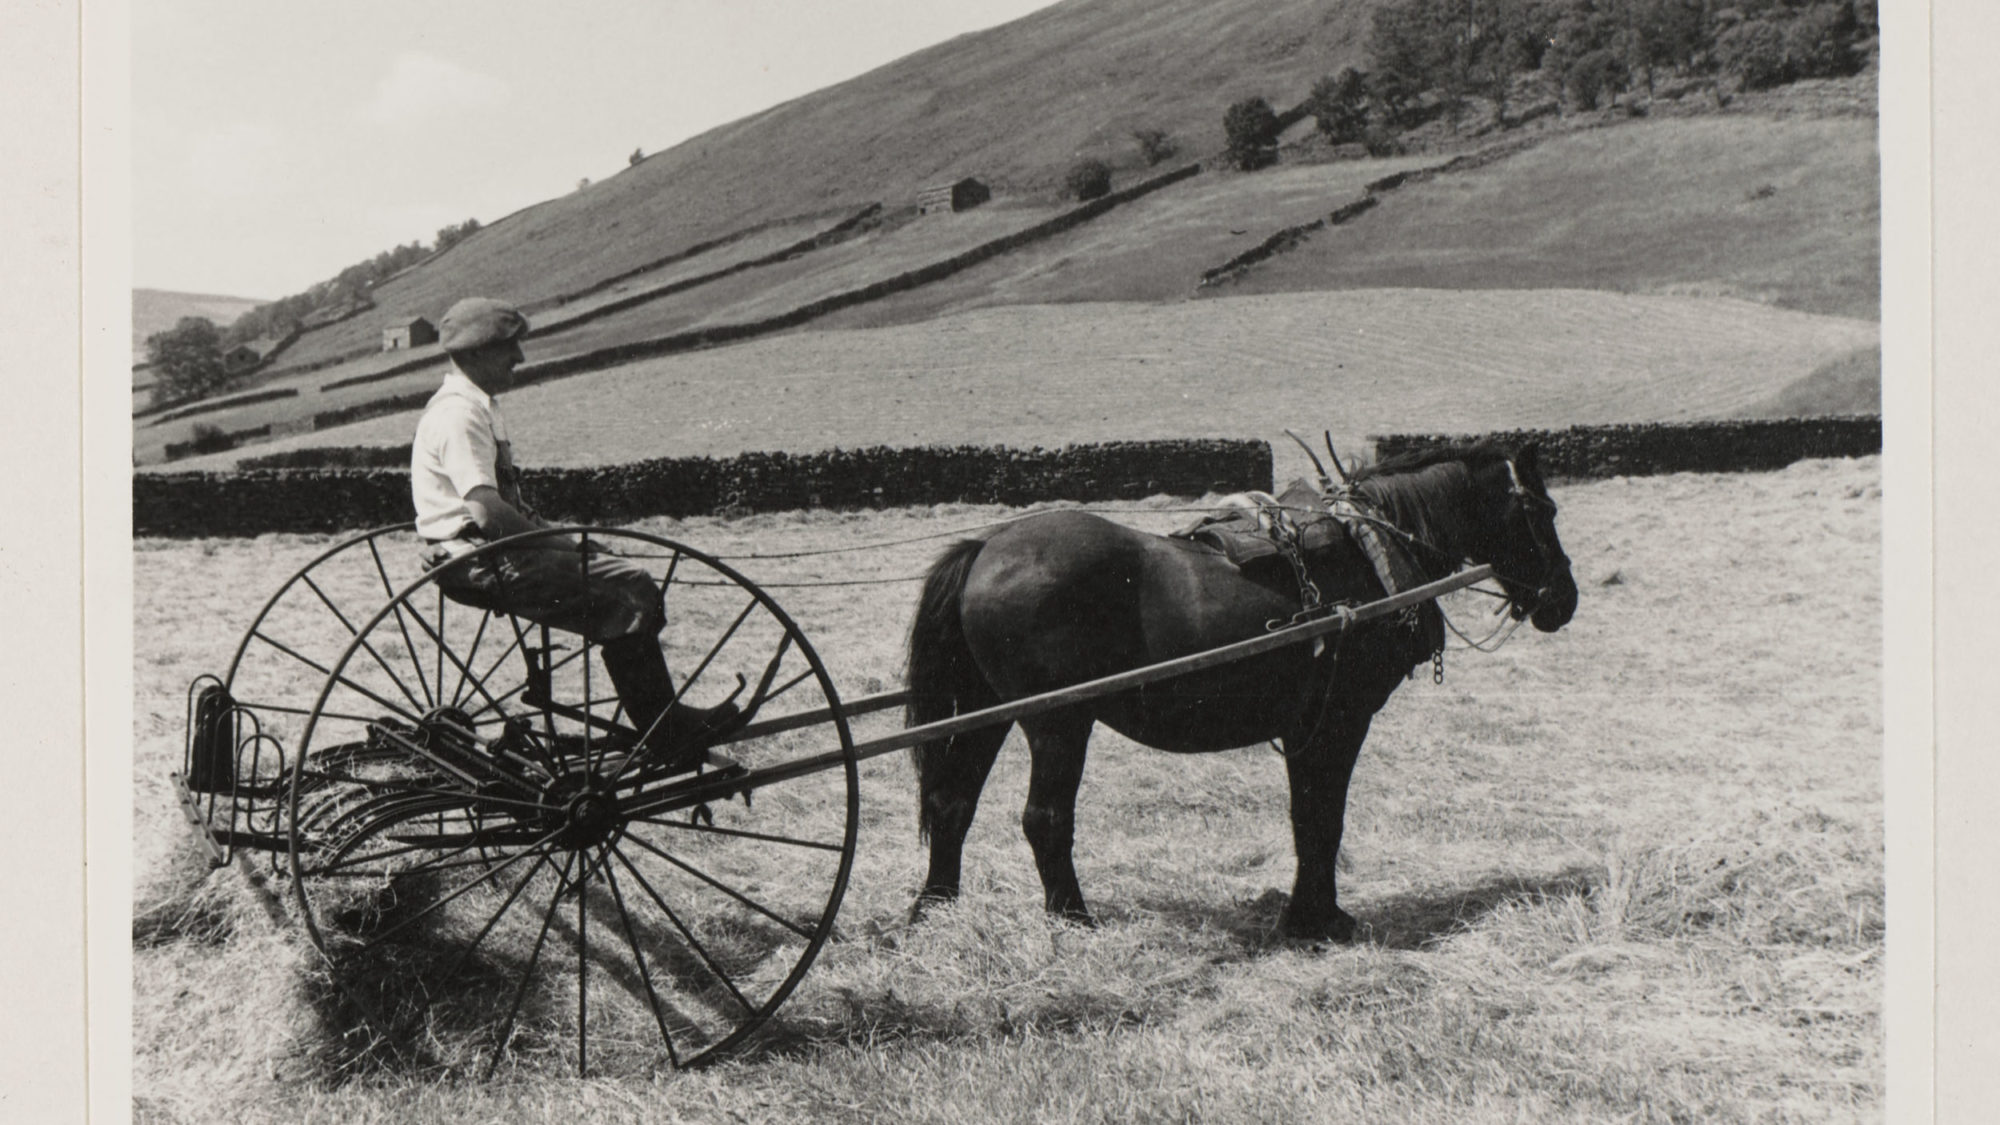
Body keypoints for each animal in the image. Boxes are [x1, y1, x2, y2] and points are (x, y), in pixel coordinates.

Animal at [908, 438, 1576, 936]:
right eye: (1543, 513)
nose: (1564, 600)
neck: (1371, 549)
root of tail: (986, 547)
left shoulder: (1308, 725)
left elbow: (1306, 815)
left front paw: (1311, 913)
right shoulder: (1341, 719)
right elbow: (1324, 816)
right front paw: (1316, 920)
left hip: (989, 711)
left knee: (951, 804)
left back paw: (934, 911)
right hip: (1058, 721)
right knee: (1044, 818)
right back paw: (1072, 918)